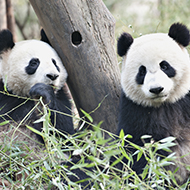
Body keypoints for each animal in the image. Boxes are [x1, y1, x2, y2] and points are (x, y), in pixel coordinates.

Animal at [116, 23, 190, 185]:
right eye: (142, 71)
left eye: (165, 66)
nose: (156, 89)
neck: (164, 104)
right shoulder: (135, 110)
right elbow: (136, 150)